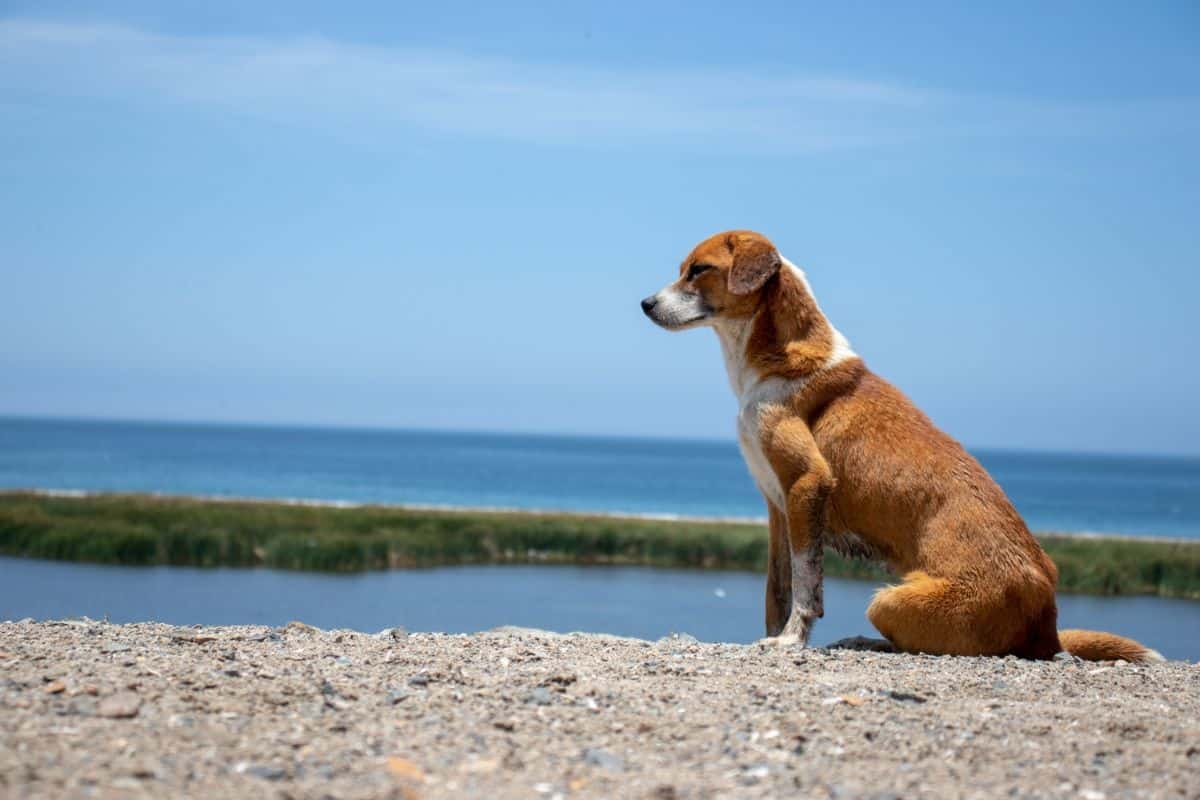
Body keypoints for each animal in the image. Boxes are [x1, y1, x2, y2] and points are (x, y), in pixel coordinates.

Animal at [648, 231, 1161, 662]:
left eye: (699, 270)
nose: (645, 303)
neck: (775, 356)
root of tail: (1048, 626)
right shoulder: (778, 503)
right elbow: (778, 585)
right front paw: (772, 633)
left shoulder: (809, 483)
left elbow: (807, 585)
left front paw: (792, 640)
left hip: (890, 600)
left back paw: (866, 641)